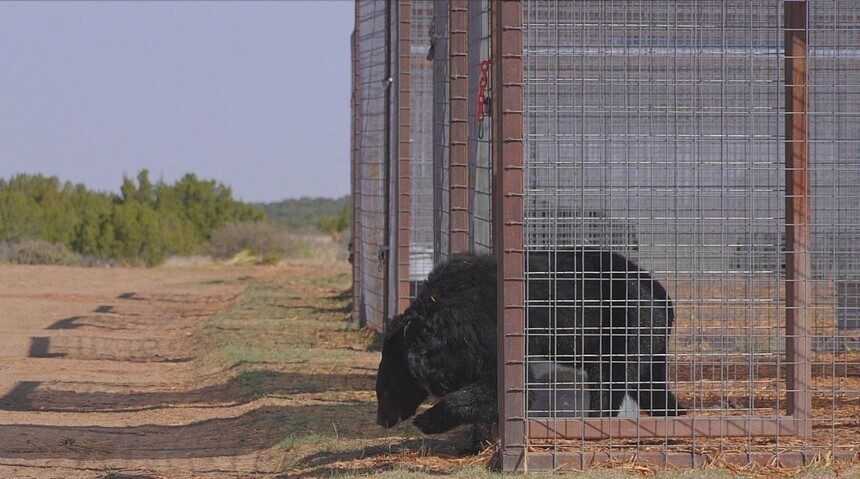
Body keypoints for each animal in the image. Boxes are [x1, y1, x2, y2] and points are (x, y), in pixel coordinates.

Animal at [376, 251, 684, 442]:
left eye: (386, 389)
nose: (382, 419)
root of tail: (665, 298)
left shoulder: (481, 329)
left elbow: (505, 385)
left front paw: (429, 420)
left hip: (627, 326)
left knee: (609, 382)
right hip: (648, 344)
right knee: (651, 389)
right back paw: (675, 420)